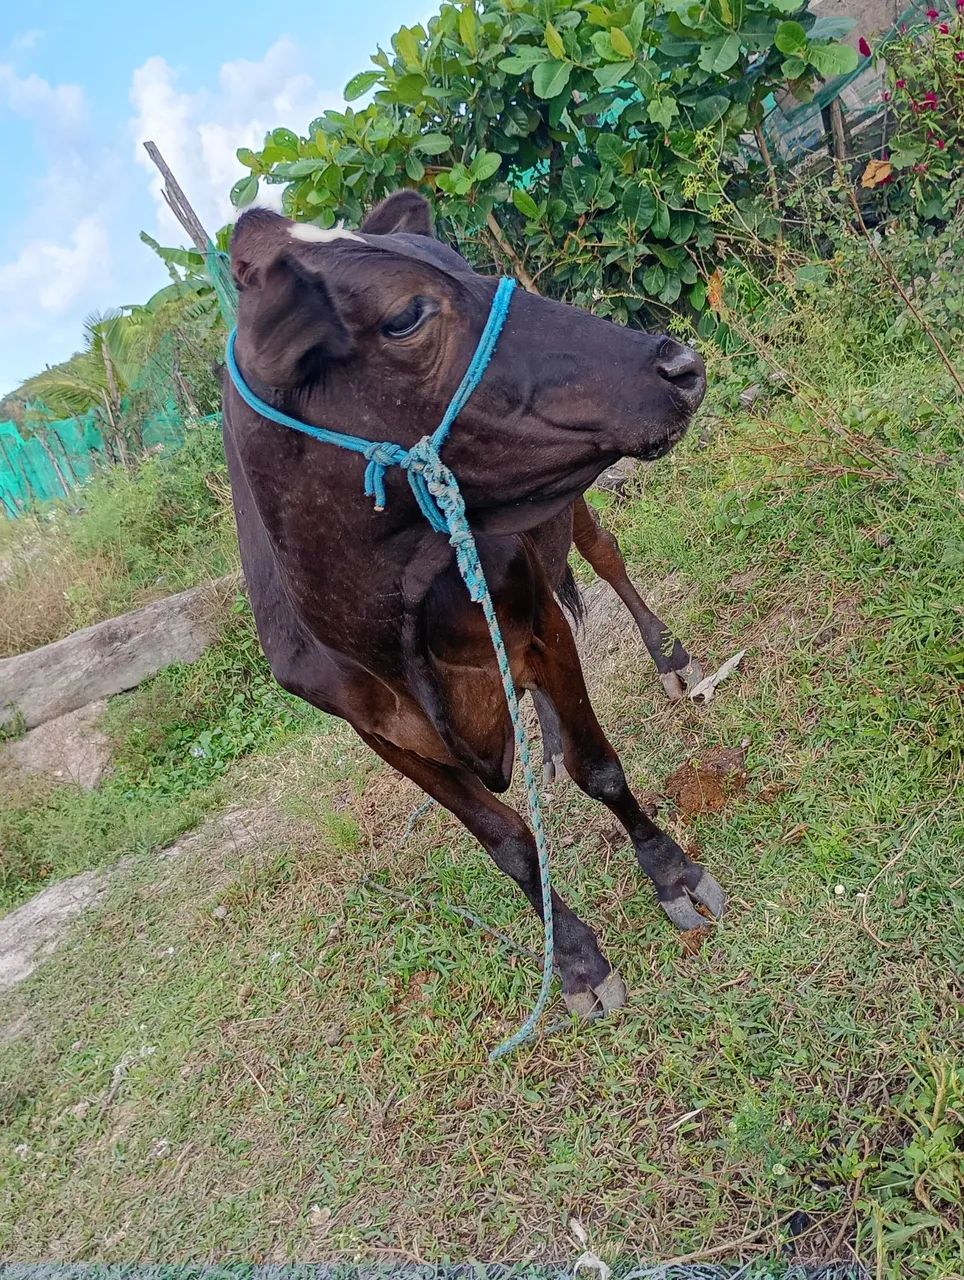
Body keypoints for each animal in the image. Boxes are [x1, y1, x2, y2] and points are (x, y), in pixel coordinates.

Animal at [222, 190, 725, 1019]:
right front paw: (576, 963)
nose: (681, 364)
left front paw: (673, 875)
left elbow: (600, 767)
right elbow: (506, 842)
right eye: (404, 315)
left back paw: (671, 659)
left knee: (609, 556)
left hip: (573, 512)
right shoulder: (383, 735)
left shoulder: (537, 622)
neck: (383, 616)